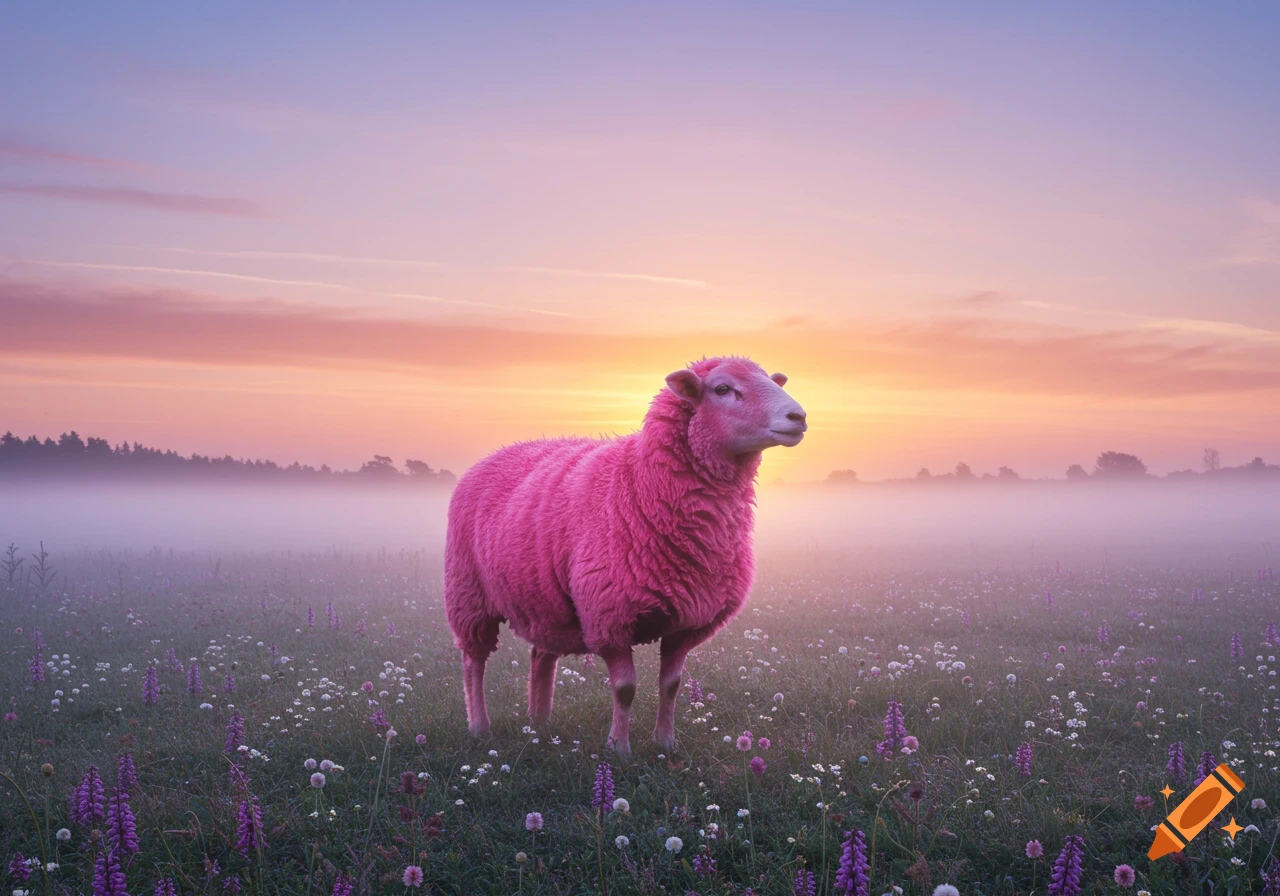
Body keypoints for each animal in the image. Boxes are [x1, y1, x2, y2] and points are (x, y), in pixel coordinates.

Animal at [443, 356, 807, 755]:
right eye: (722, 388)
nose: (798, 416)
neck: (640, 482)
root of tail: (494, 454)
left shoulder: (687, 620)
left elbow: (671, 686)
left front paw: (665, 742)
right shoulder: (609, 614)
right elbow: (625, 689)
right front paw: (618, 748)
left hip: (546, 601)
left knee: (541, 655)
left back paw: (538, 724)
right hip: (468, 593)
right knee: (473, 661)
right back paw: (479, 726)